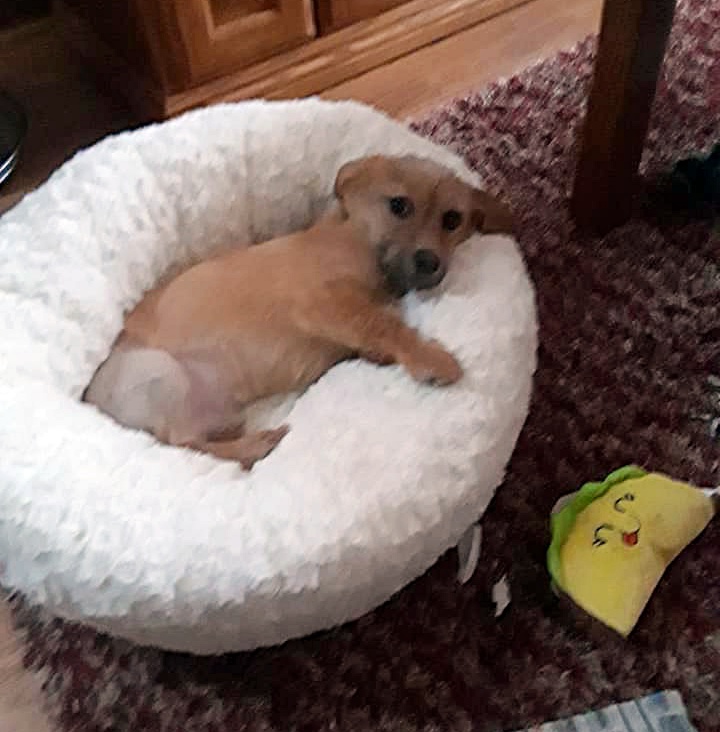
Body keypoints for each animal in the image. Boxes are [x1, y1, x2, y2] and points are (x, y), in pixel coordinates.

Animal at [85, 155, 513, 468]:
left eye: (452, 219)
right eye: (399, 205)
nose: (429, 262)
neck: (356, 239)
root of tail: (90, 398)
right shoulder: (322, 303)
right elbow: (384, 323)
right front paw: (430, 359)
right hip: (160, 372)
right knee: (183, 442)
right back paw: (256, 446)